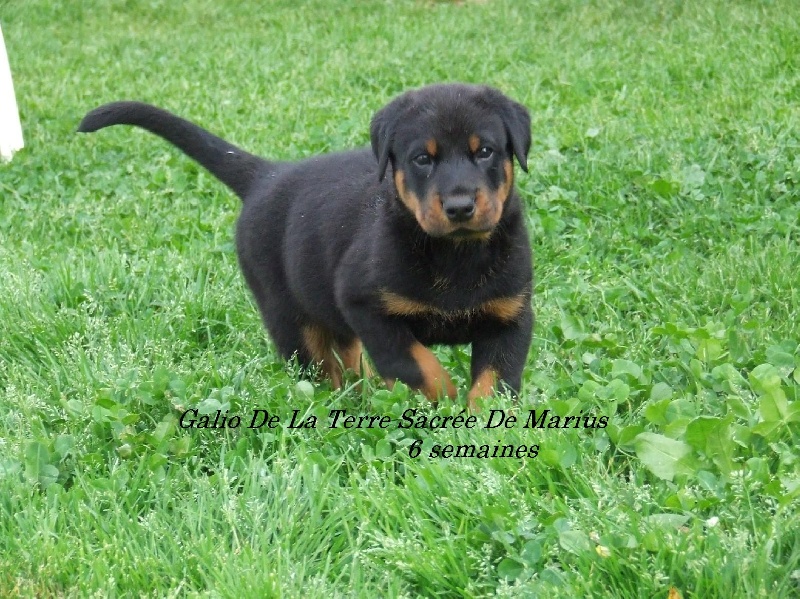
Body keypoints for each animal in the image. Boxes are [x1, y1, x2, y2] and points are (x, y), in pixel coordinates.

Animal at [79, 84, 532, 410]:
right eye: (422, 159)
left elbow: (496, 378)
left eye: (485, 151)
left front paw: (482, 420)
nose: (459, 206)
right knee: (321, 370)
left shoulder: (511, 315)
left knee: (347, 358)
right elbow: (415, 363)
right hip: (289, 318)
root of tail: (267, 175)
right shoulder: (366, 305)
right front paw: (442, 400)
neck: (456, 255)